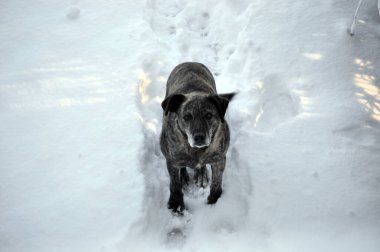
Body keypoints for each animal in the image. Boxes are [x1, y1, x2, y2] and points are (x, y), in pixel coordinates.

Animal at [158, 62, 235, 212]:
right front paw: (176, 203)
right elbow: (174, 184)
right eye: (187, 117)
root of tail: (189, 62)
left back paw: (201, 175)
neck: (196, 150)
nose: (199, 137)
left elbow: (216, 183)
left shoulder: (219, 159)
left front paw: (214, 201)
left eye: (209, 115)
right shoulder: (171, 160)